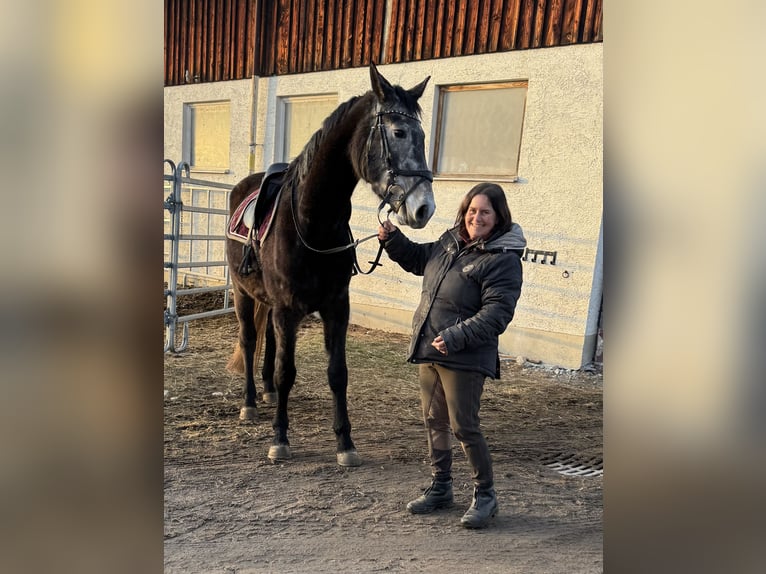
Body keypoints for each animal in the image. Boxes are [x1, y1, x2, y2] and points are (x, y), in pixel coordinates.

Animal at [225, 63, 435, 466]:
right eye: (399, 132)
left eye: (422, 135)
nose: (423, 208)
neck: (312, 222)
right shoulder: (288, 309)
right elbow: (287, 371)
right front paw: (280, 439)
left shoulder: (336, 306)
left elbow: (337, 373)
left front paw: (345, 443)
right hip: (244, 294)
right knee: (249, 339)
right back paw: (249, 403)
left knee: (268, 342)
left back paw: (267, 393)